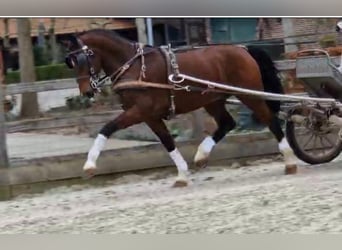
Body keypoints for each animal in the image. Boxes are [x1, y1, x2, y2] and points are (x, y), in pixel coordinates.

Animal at [62, 28, 298, 187]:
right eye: (70, 62)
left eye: (82, 58)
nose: (86, 92)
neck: (135, 67)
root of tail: (243, 49)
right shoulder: (150, 116)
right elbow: (167, 142)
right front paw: (182, 175)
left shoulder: (139, 111)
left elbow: (107, 128)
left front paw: (89, 165)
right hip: (213, 100)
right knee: (227, 123)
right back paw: (202, 155)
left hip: (249, 95)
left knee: (270, 120)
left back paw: (289, 160)